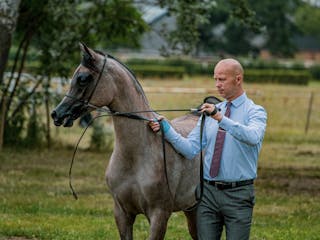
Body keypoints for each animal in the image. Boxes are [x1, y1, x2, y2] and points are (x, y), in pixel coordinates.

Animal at [50, 43, 201, 240]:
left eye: (83, 79)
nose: (57, 114)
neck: (136, 157)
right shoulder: (122, 214)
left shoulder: (159, 215)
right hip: (192, 209)